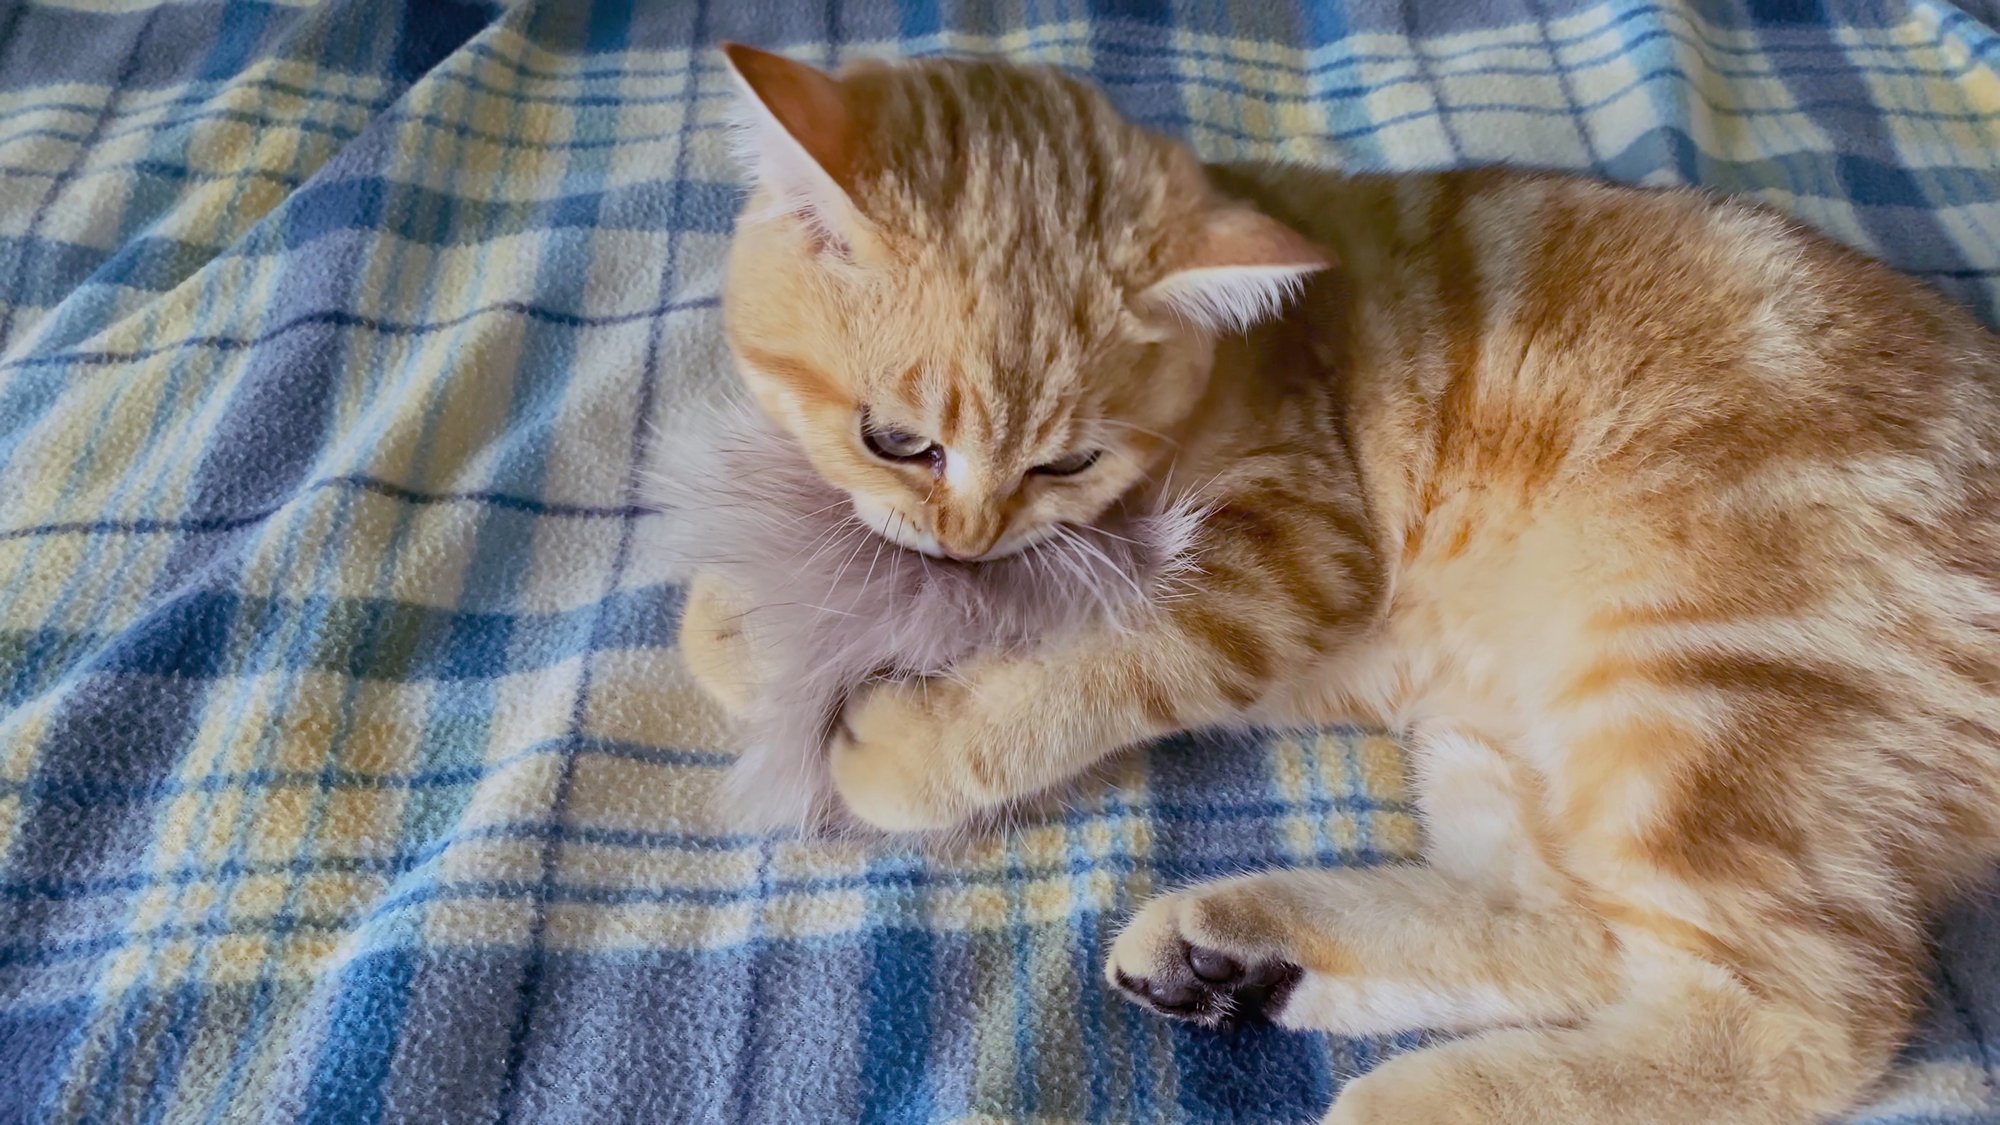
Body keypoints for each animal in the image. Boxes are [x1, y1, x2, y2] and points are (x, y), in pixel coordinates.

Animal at [684, 43, 2000, 1120]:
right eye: (894, 439)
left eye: (1066, 460)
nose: (964, 540)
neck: (1236, 365)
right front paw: (757, 624)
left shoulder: (1298, 557)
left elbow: (1114, 657)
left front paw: (916, 739)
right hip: (1508, 741)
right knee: (1573, 930)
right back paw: (1235, 956)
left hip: (1691, 691)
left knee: (1801, 1018)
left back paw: (1414, 1099)